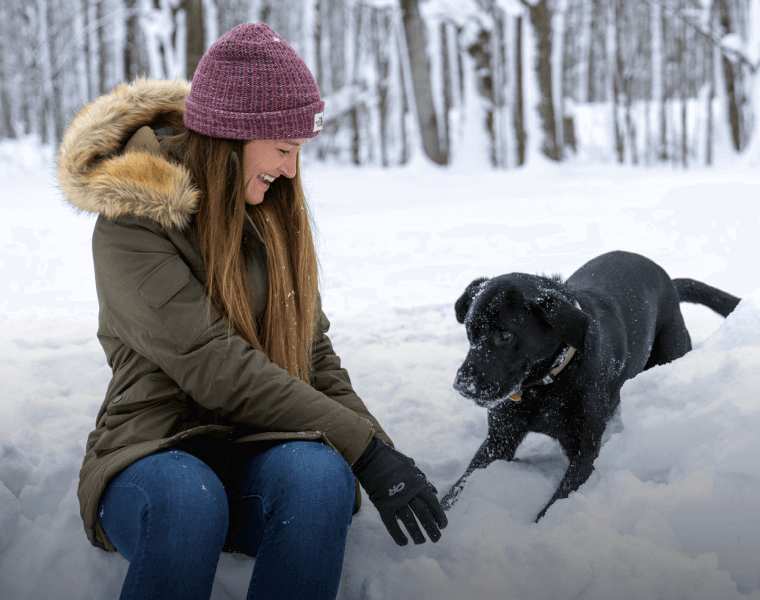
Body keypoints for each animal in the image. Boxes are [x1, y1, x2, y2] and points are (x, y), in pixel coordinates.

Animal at [442, 248, 740, 520]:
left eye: (505, 335)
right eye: (470, 331)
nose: (462, 386)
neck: (547, 385)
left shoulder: (584, 450)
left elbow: (553, 507)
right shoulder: (499, 439)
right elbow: (457, 489)